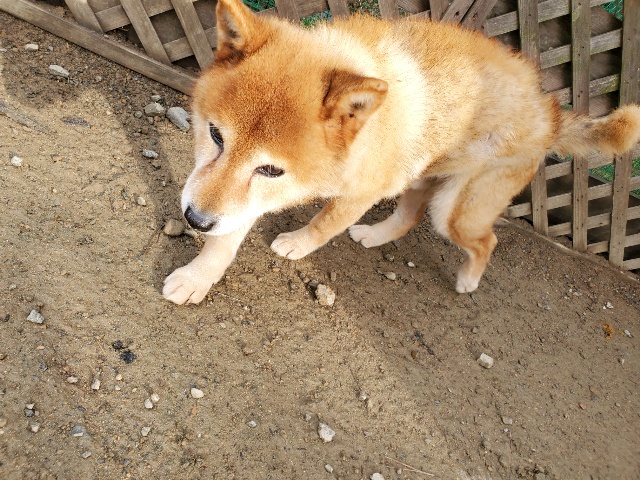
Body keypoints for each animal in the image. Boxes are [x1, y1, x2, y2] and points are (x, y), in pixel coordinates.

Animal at [163, 0, 640, 305]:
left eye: (271, 169)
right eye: (216, 136)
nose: (195, 220)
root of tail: (551, 110)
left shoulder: (354, 193)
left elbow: (322, 224)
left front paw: (297, 244)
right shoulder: (234, 199)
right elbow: (224, 239)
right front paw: (197, 278)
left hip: (455, 210)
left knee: (487, 239)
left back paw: (467, 281)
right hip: (420, 175)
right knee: (408, 216)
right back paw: (375, 236)